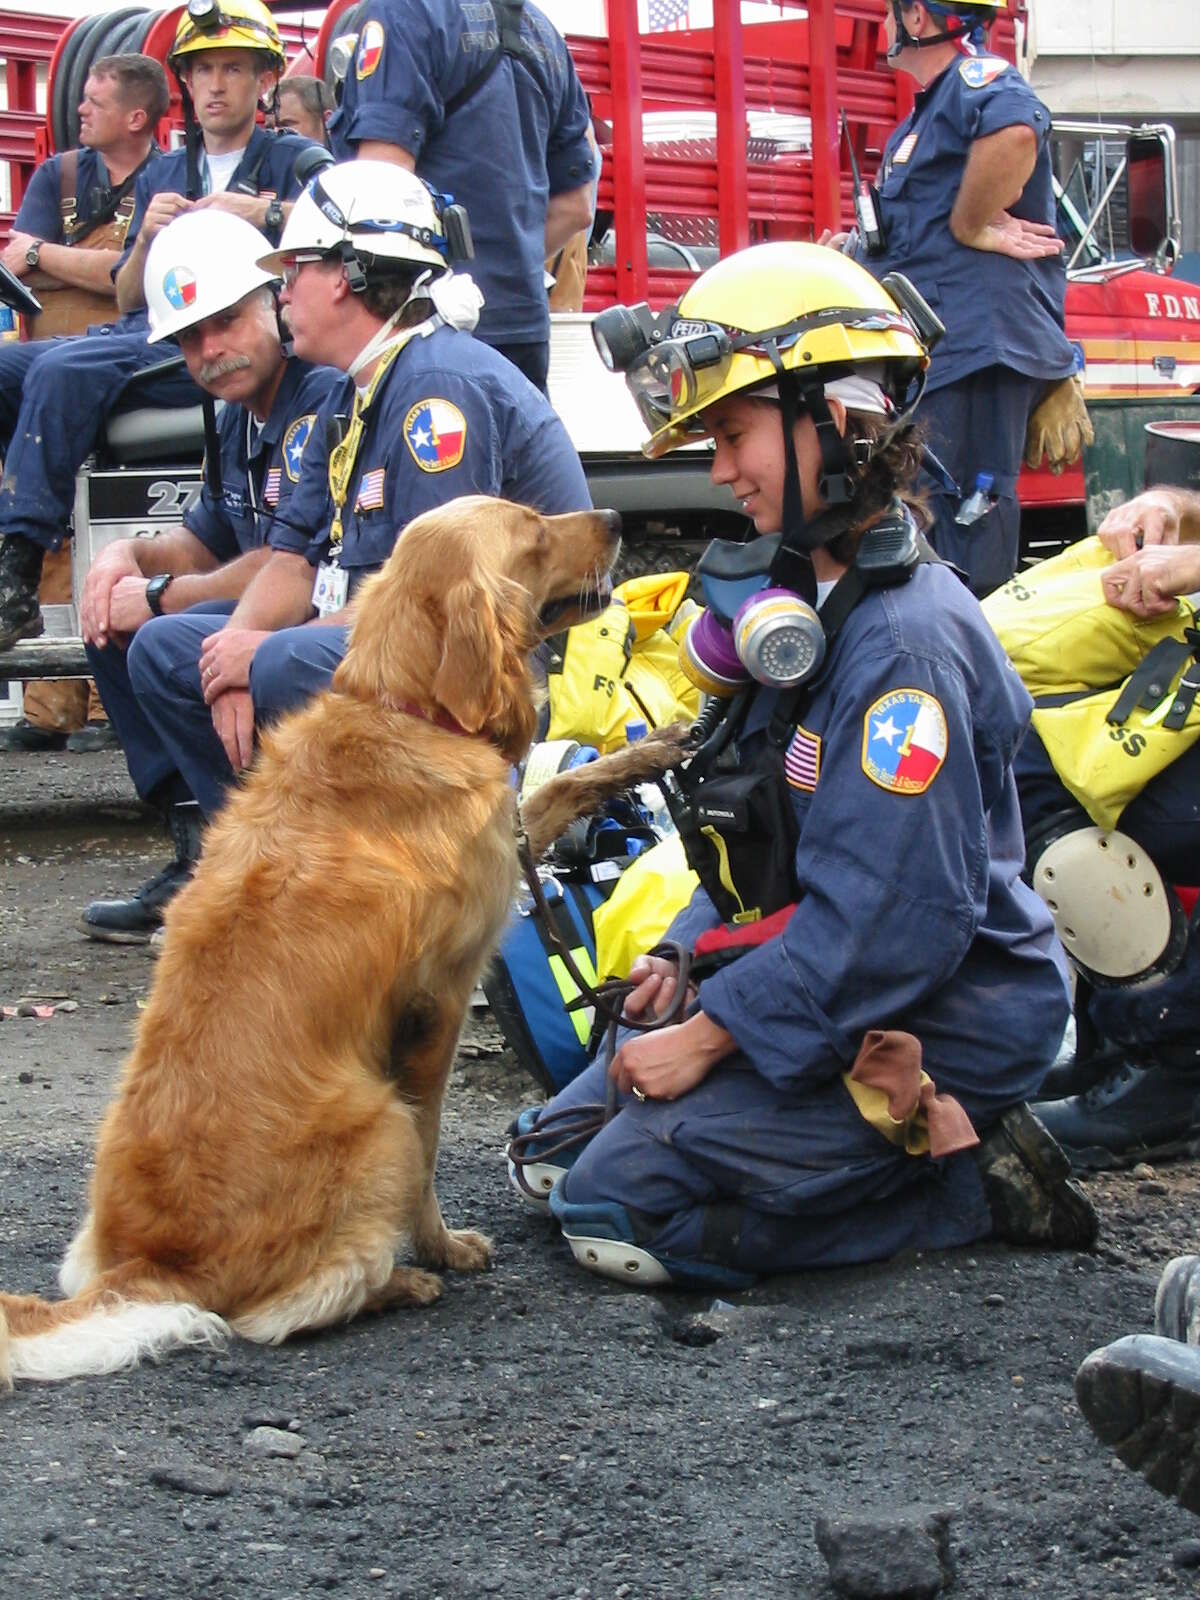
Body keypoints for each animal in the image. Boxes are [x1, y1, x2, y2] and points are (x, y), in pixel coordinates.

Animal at [0, 496, 691, 1388]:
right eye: (535, 532)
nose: (613, 516)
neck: (403, 708)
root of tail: (150, 1266)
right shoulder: (436, 1005)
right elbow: (431, 1146)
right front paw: (441, 1246)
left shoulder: (505, 844)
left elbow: (562, 783)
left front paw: (654, 748)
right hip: (376, 1120)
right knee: (279, 1312)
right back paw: (397, 1281)